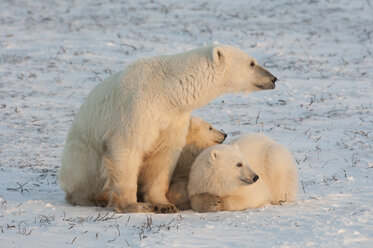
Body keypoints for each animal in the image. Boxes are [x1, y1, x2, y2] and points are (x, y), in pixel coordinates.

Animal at [56, 44, 274, 213]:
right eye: (252, 63)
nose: (273, 79)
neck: (167, 90)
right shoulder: (137, 107)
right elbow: (127, 146)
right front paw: (135, 206)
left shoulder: (173, 117)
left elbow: (164, 154)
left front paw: (164, 204)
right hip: (81, 156)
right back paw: (94, 198)